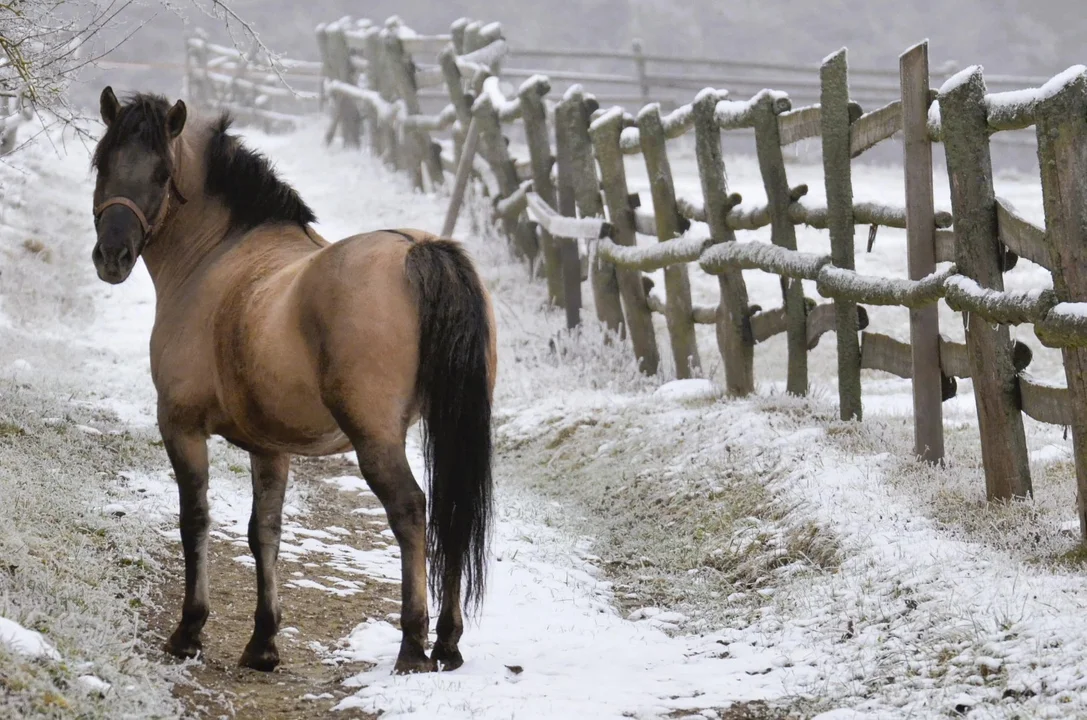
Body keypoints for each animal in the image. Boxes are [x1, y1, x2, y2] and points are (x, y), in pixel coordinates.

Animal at [89, 85, 497, 678]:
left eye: (163, 174)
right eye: (103, 162)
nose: (112, 257)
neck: (218, 254)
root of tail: (416, 249)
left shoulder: (180, 428)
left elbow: (196, 520)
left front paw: (189, 632)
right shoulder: (269, 448)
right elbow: (265, 531)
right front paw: (263, 643)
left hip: (376, 440)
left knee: (411, 513)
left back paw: (412, 646)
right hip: (451, 427)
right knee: (453, 514)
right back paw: (447, 643)